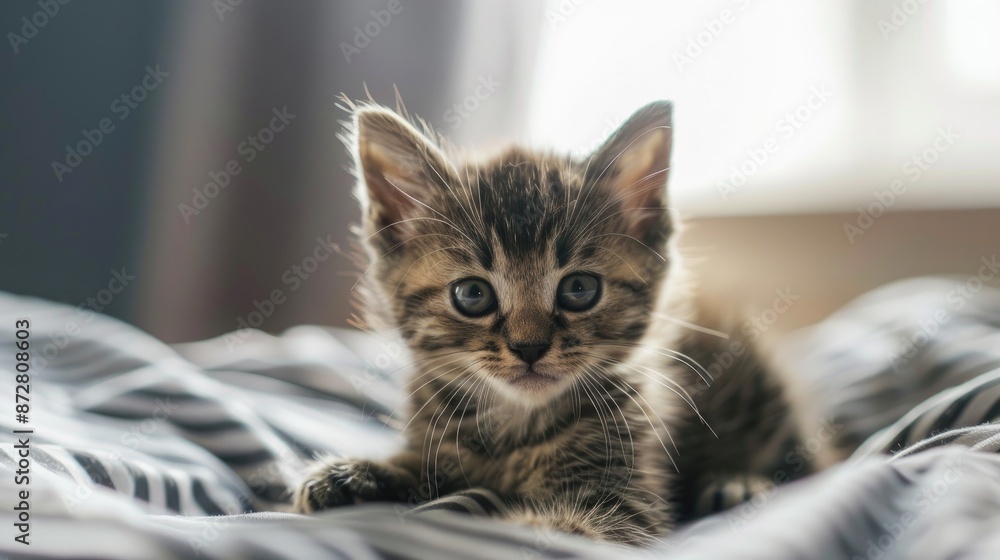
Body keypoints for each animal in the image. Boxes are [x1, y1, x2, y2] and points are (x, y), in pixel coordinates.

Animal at [294, 99, 820, 544]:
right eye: (472, 295)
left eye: (579, 289)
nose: (529, 348)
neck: (512, 426)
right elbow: (419, 465)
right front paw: (355, 474)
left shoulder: (623, 504)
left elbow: (547, 529)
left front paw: (477, 512)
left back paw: (737, 481)